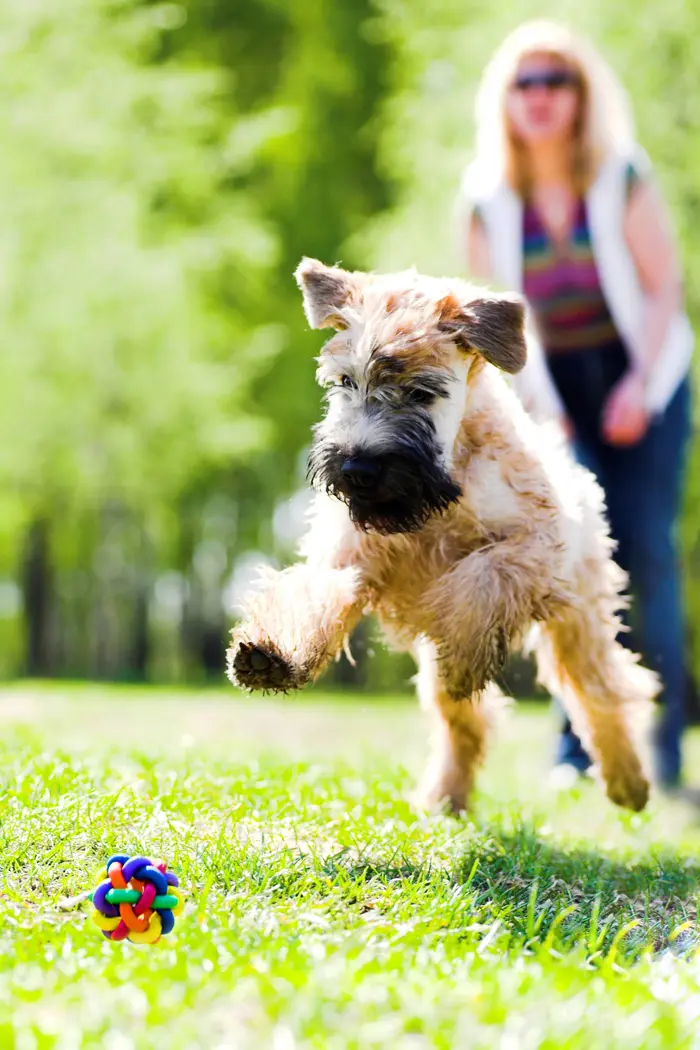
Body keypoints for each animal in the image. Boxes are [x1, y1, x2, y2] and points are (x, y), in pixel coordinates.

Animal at [225, 258, 659, 814]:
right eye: (345, 382)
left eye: (421, 392)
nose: (357, 468)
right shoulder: (345, 560)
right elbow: (311, 595)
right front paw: (271, 655)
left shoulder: (536, 548)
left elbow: (483, 575)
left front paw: (467, 650)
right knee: (465, 722)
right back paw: (445, 798)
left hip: (579, 621)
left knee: (602, 691)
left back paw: (628, 782)